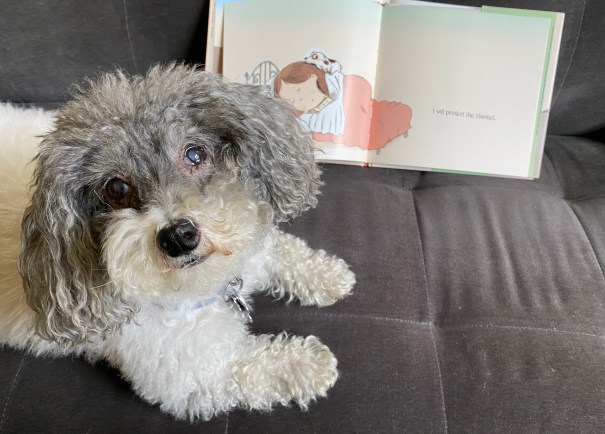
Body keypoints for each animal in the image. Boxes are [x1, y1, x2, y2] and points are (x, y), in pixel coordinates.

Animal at [0, 63, 355, 420]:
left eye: (194, 154)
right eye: (116, 188)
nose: (177, 237)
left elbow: (282, 251)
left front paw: (327, 275)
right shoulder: (196, 373)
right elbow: (258, 367)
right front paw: (309, 363)